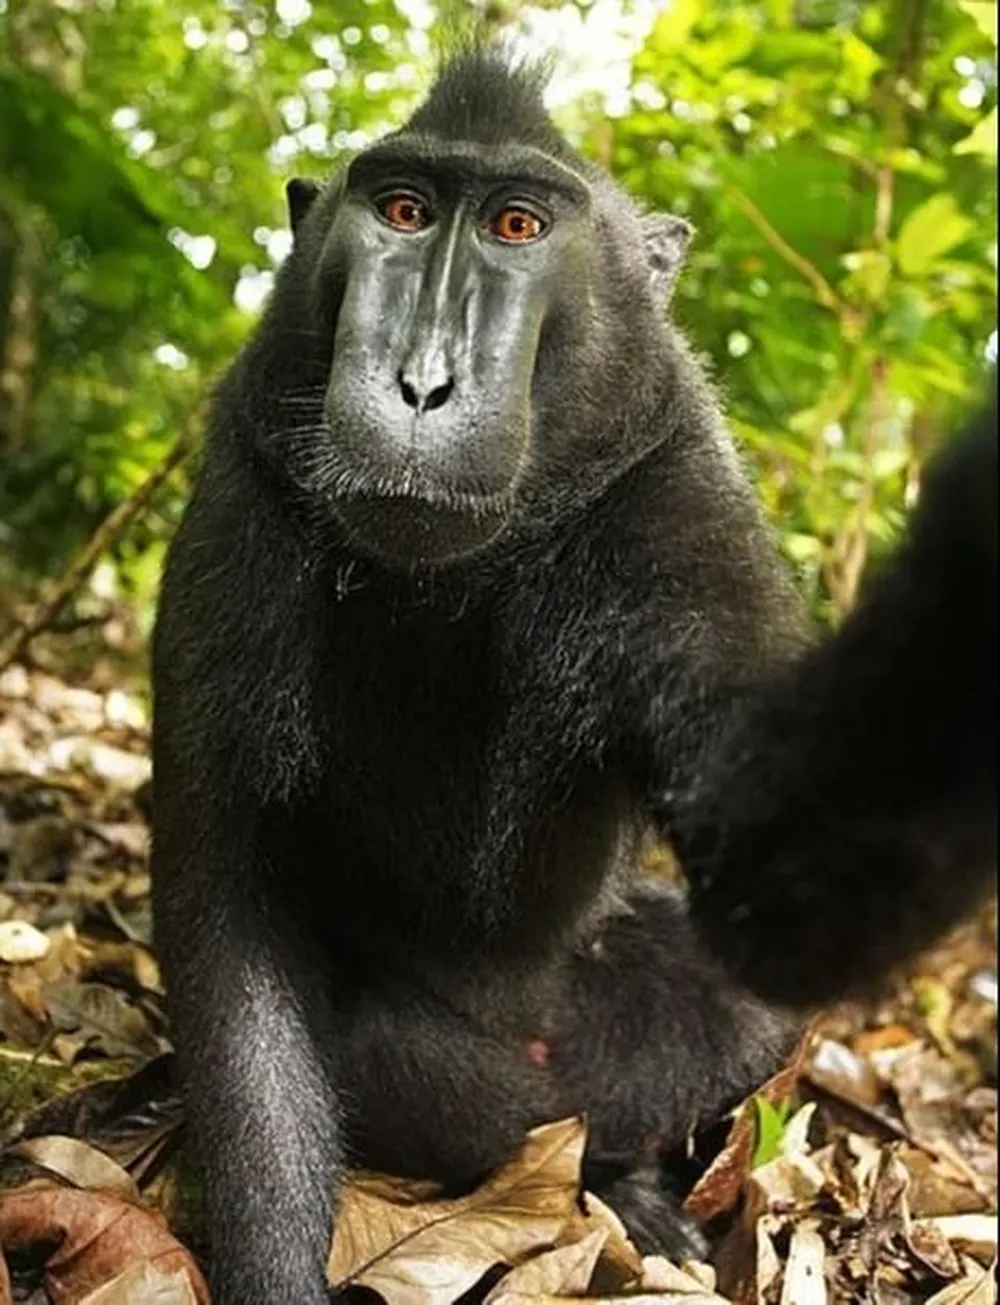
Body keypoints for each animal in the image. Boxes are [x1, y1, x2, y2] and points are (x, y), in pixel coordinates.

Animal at [151, 46, 996, 1304]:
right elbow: (228, 913)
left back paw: (632, 1187)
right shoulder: (243, 498)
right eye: (402, 212)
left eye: (516, 224)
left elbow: (786, 882)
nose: (423, 384)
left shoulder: (677, 492)